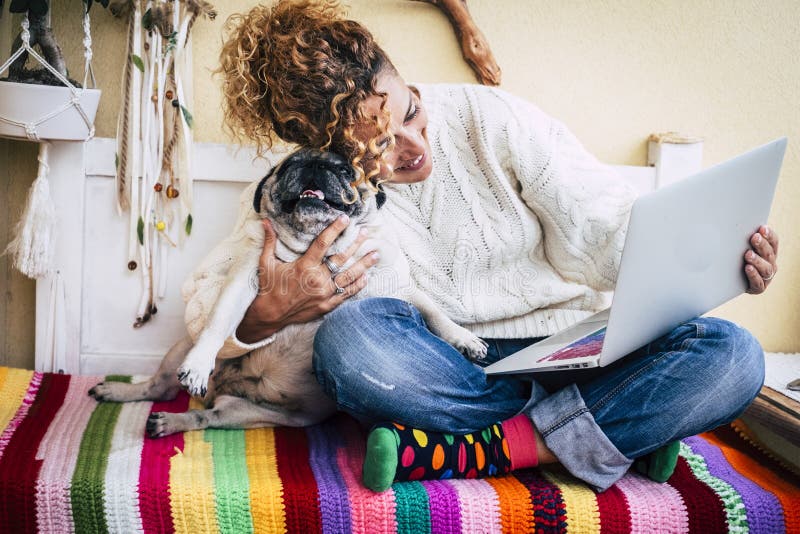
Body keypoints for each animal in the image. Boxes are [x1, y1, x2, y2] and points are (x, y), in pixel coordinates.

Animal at [88, 149, 488, 438]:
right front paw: (200, 364)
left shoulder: (398, 286)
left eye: (347, 171)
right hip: (181, 346)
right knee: (161, 388)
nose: (313, 165)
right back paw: (120, 393)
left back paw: (173, 421)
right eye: (290, 165)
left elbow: (433, 311)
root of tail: (228, 388)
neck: (315, 247)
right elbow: (218, 322)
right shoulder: (244, 280)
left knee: (206, 417)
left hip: (248, 413)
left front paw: (464, 339)